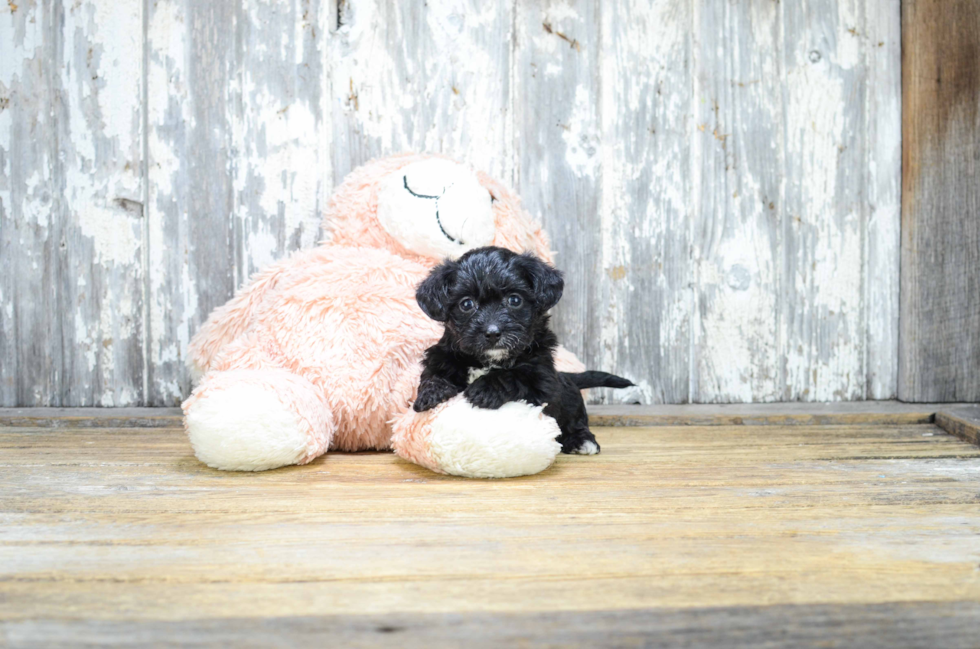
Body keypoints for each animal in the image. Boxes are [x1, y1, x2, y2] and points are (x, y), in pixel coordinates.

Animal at [412, 246, 628, 454]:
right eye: (466, 304)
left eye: (514, 300)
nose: (492, 333)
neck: (487, 360)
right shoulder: (441, 357)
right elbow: (433, 374)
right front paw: (432, 392)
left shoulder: (541, 381)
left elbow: (514, 375)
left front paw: (485, 388)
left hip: (570, 399)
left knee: (575, 420)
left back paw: (581, 440)